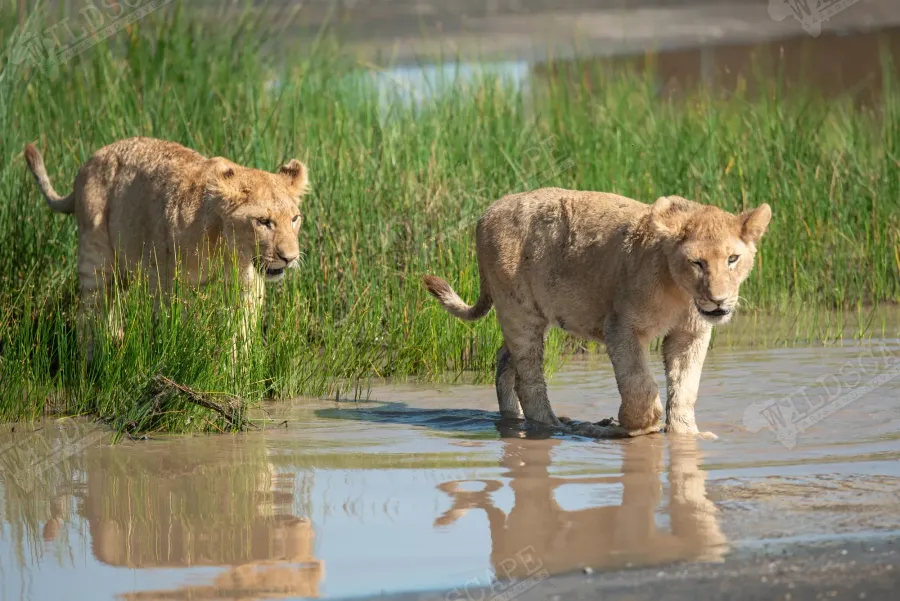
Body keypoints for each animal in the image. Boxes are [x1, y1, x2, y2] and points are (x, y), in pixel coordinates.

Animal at [24, 136, 309, 362]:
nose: (290, 258)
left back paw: (114, 343)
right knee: (88, 312)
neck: (228, 252)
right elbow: (176, 327)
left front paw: (237, 374)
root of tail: (86, 165)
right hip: (95, 255)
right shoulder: (165, 282)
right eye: (264, 222)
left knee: (110, 305)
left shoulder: (247, 288)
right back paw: (90, 361)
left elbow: (241, 334)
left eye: (294, 219)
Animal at [423, 187, 771, 439]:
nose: (718, 301)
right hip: (519, 310)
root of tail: (487, 212)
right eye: (697, 262)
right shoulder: (621, 327)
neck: (681, 293)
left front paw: (686, 435)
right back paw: (556, 425)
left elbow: (685, 387)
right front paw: (637, 425)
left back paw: (515, 419)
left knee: (504, 362)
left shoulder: (691, 334)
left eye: (732, 259)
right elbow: (639, 385)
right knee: (528, 377)